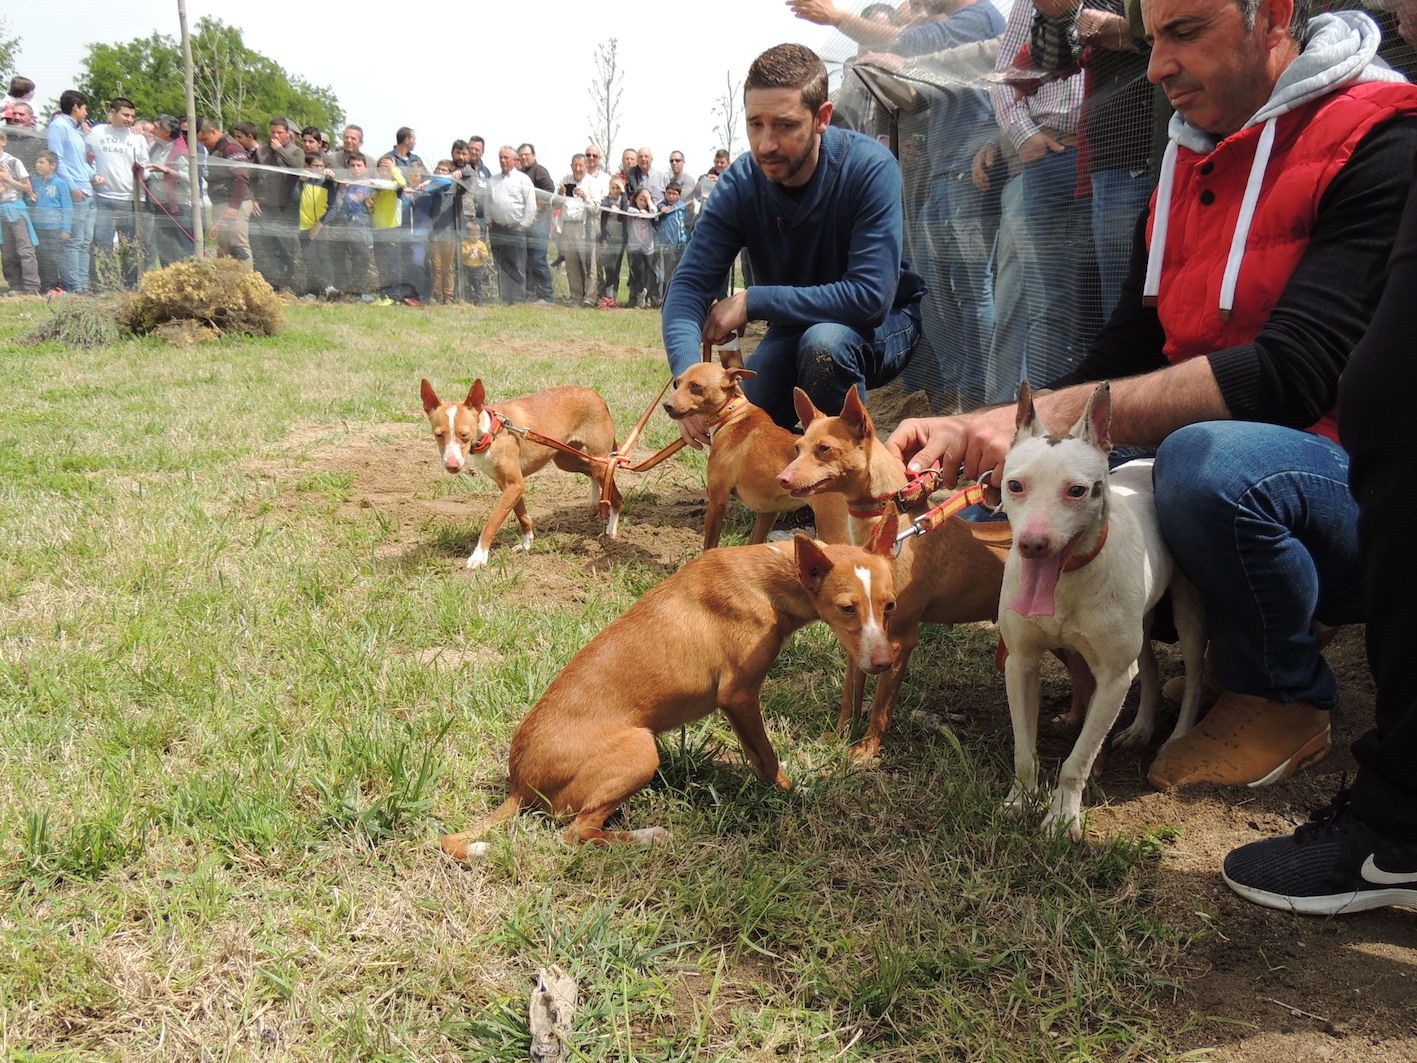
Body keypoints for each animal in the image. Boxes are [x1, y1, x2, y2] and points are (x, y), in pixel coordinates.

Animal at [416, 379, 623, 569]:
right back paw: (595, 503)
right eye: (438, 435)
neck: (491, 433)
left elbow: (491, 522)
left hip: (598, 461)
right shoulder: (510, 487)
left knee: (615, 493)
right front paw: (526, 545)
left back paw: (610, 533)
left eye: (464, 435)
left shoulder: (515, 485)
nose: (452, 465)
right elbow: (523, 517)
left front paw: (479, 556)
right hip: (565, 459)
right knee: (590, 472)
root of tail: (596, 395)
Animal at [436, 510, 901, 856]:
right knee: (576, 832)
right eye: (846, 608)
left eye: (890, 605)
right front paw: (792, 793)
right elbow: (768, 758)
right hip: (641, 749)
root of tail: (519, 781)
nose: (885, 663)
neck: (769, 577)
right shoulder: (738, 695)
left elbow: (756, 757)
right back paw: (649, 836)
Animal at [665, 365, 850, 552]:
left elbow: (709, 546)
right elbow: (754, 543)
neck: (732, 416)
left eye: (696, 386)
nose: (666, 405)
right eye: (677, 383)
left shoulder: (717, 501)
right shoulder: (768, 512)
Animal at [997, 379, 1207, 839]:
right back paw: (1141, 728)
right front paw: (1020, 800)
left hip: (1187, 613)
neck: (1066, 581)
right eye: (1015, 485)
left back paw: (1177, 738)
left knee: (1194, 675)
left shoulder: (1111, 680)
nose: (1032, 544)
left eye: (1077, 491)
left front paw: (1062, 817)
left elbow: (1078, 761)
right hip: (1139, 623)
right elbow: (1023, 749)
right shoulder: (1020, 664)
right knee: (1147, 667)